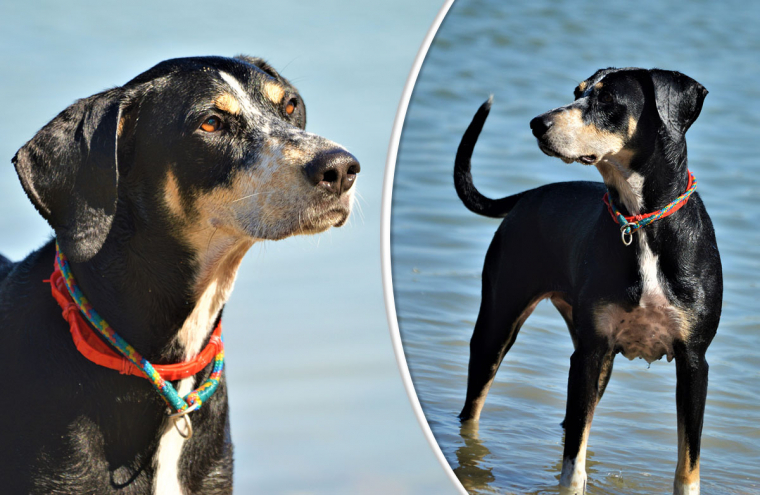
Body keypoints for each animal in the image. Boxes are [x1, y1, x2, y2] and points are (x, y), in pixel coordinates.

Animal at [454, 67, 720, 495]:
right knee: (475, 409)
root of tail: (528, 196)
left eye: (608, 98)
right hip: (498, 326)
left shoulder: (694, 361)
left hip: (596, 361)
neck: (639, 222)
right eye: (577, 92)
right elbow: (573, 461)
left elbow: (688, 461)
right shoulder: (591, 353)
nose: (537, 123)